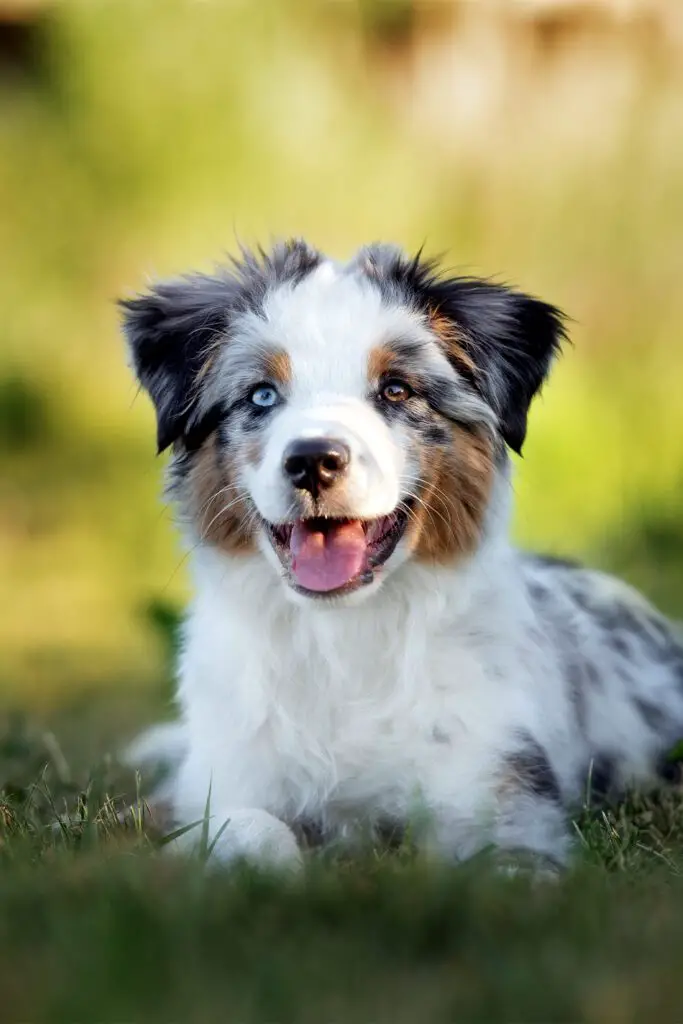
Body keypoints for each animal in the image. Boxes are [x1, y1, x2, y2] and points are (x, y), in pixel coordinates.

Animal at [121, 241, 683, 872]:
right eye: (262, 394)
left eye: (396, 390)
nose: (313, 461)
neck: (343, 639)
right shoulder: (224, 781)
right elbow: (249, 830)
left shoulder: (503, 791)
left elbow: (502, 863)